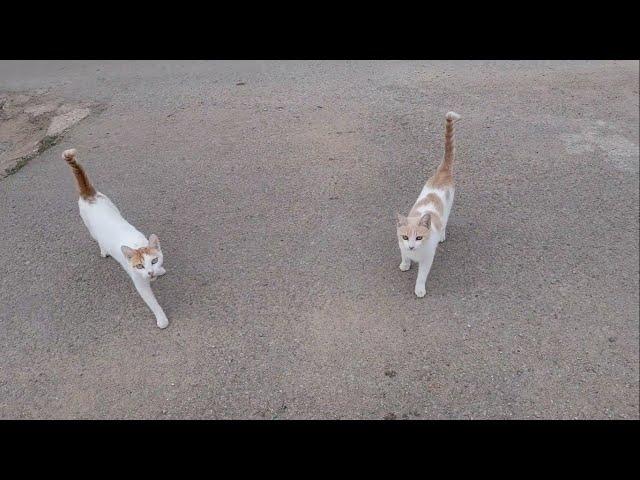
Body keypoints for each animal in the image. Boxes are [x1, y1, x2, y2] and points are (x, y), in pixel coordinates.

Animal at [396, 111, 460, 296]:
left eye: (419, 237)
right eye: (405, 237)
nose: (411, 247)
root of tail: (442, 172)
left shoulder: (427, 258)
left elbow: (422, 276)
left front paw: (419, 289)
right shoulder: (401, 245)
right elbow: (404, 256)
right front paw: (405, 264)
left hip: (448, 207)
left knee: (445, 222)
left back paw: (442, 235)